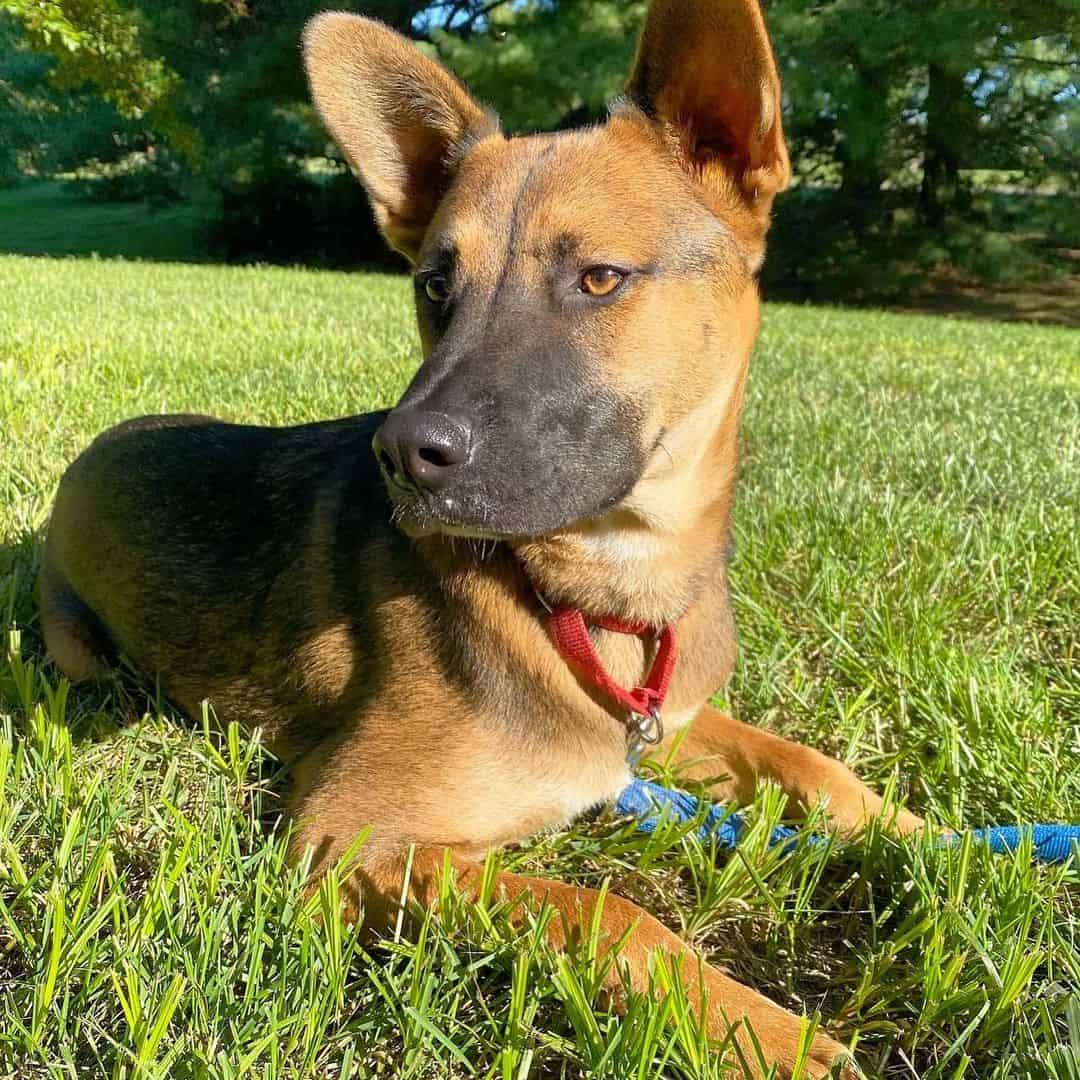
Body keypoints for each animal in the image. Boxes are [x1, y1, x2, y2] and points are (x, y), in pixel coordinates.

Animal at [39, 2, 920, 1071]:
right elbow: (603, 912)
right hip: (75, 651)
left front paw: (928, 840)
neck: (590, 593)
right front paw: (766, 1034)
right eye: (432, 285)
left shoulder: (659, 729)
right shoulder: (352, 837)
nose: (400, 455)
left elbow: (811, 767)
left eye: (599, 278)